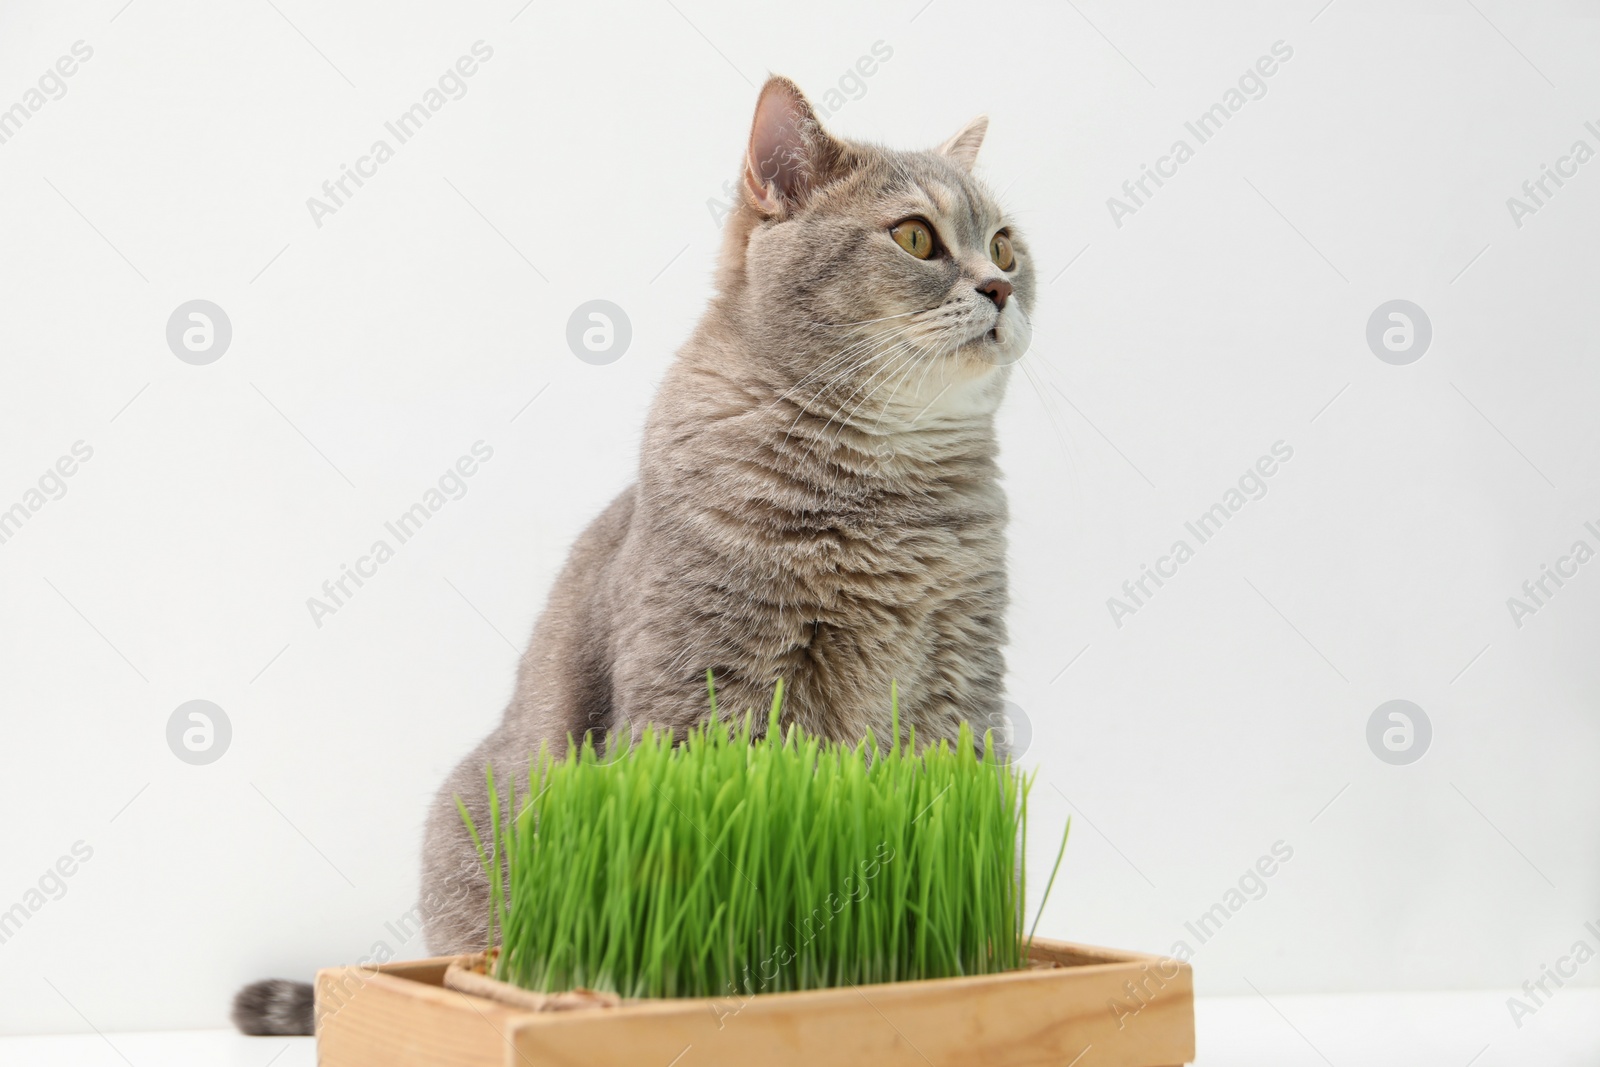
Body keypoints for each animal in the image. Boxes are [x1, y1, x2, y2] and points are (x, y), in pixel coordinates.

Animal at [236, 73, 1036, 1036]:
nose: (1000, 286)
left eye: (1006, 244)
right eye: (916, 236)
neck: (891, 494)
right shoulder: (709, 687)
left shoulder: (961, 690)